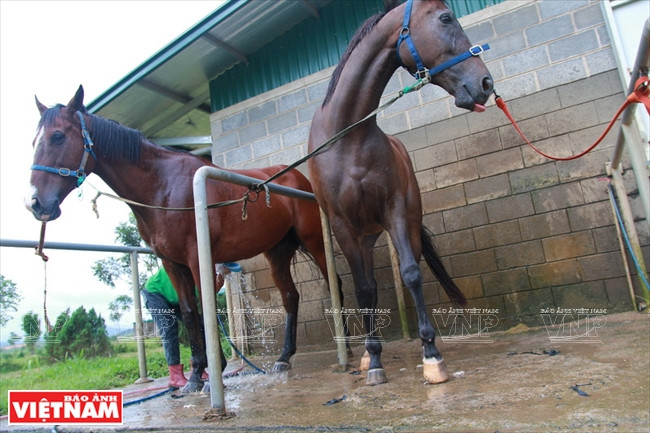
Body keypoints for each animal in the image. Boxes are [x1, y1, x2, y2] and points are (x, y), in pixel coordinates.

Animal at [27, 85, 343, 392]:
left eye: (57, 136)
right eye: (34, 142)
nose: (35, 204)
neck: (163, 187)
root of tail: (299, 180)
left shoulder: (197, 258)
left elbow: (206, 310)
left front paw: (213, 372)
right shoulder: (173, 263)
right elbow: (191, 313)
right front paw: (196, 376)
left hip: (314, 241)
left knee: (334, 282)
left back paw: (346, 346)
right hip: (277, 251)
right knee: (290, 297)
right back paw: (283, 358)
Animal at [307, 0, 493, 385]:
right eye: (446, 18)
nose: (485, 83)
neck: (347, 137)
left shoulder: (392, 211)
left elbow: (410, 273)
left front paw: (432, 355)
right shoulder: (342, 226)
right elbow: (364, 290)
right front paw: (375, 361)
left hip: (403, 225)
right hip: (363, 237)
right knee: (370, 287)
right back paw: (368, 355)